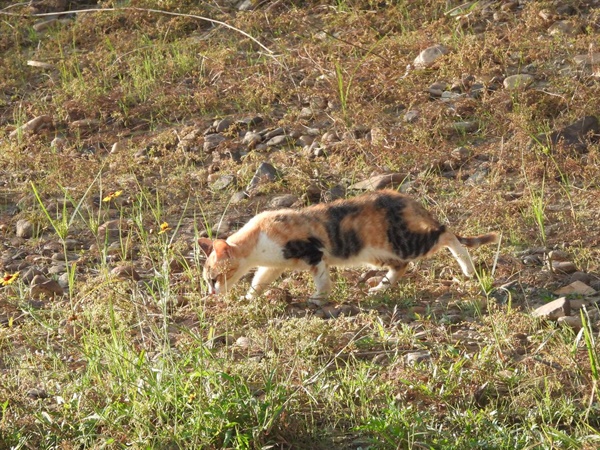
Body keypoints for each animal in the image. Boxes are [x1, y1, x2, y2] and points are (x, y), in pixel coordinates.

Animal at [197, 188, 496, 300]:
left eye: (214, 278)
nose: (211, 292)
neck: (258, 238)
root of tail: (403, 196)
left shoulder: (312, 252)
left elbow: (320, 279)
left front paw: (318, 298)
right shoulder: (274, 265)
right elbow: (259, 280)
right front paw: (249, 298)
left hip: (405, 242)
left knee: (446, 234)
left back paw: (467, 269)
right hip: (375, 252)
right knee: (401, 266)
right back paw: (379, 288)